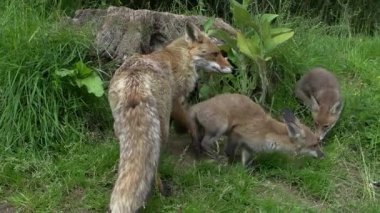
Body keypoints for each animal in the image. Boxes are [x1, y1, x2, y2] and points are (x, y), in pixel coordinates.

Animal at [107, 22, 232, 212]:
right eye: (216, 53)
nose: (232, 68)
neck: (182, 56)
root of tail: (135, 82)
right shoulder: (176, 100)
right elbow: (189, 122)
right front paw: (196, 142)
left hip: (119, 126)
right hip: (162, 128)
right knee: (154, 163)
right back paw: (161, 190)